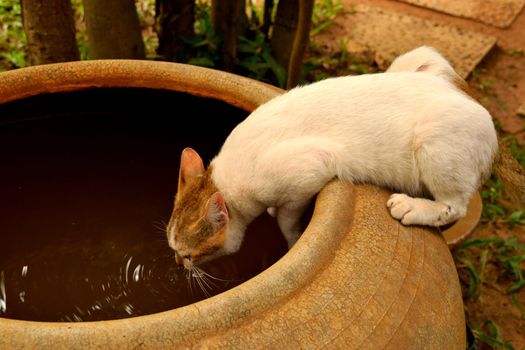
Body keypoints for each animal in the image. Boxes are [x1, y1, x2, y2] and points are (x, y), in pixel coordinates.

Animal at [167, 44, 496, 268]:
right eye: (173, 251)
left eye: (188, 254)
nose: (178, 265)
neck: (224, 183)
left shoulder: (309, 169)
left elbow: (287, 220)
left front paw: (291, 239)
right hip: (417, 58)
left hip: (435, 138)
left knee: (455, 206)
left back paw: (412, 207)